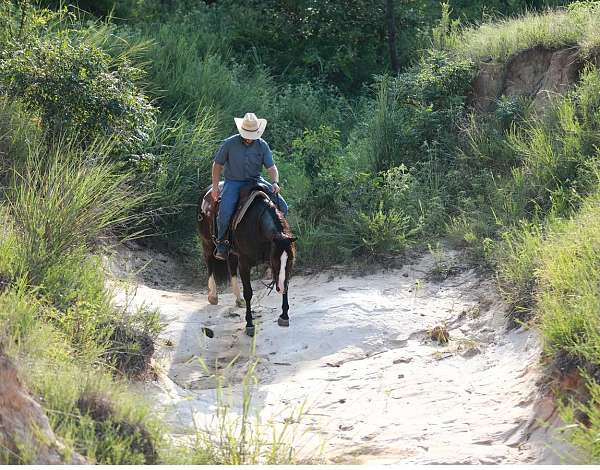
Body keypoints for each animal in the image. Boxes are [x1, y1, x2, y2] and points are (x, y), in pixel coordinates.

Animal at [198, 185, 296, 338]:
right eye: (274, 260)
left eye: (291, 260)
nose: (279, 288)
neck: (258, 224)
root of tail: (206, 191)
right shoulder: (244, 263)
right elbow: (249, 292)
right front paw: (249, 324)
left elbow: (286, 282)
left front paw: (284, 316)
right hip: (207, 242)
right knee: (209, 263)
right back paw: (213, 296)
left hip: (231, 252)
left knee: (231, 267)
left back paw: (239, 300)